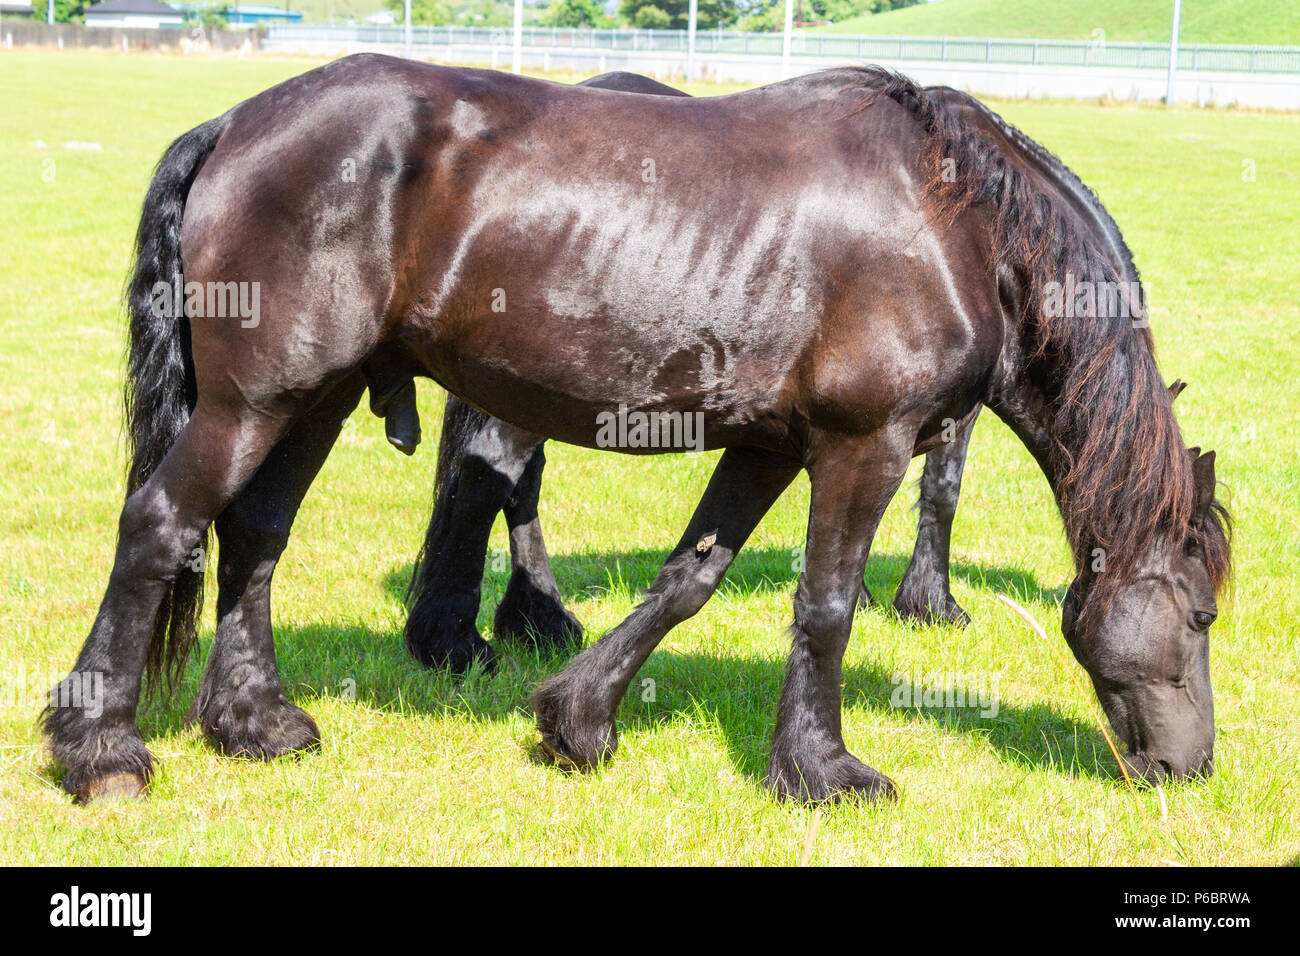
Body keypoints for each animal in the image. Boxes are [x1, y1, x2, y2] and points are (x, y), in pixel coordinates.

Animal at [401, 81, 1173, 674]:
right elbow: (941, 492)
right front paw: (929, 602)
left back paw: (528, 621)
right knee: (491, 476)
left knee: (512, 480)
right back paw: (471, 638)